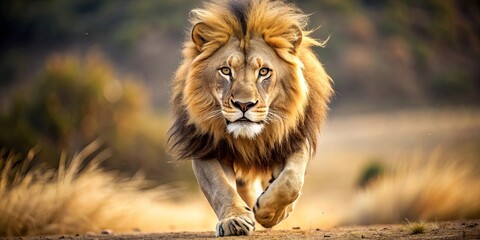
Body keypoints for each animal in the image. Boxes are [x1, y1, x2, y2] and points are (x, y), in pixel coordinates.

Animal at [168, 0, 330, 236]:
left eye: (263, 72)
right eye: (226, 71)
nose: (244, 105)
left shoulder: (295, 138)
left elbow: (291, 180)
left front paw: (270, 212)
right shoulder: (205, 147)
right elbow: (220, 186)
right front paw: (234, 220)